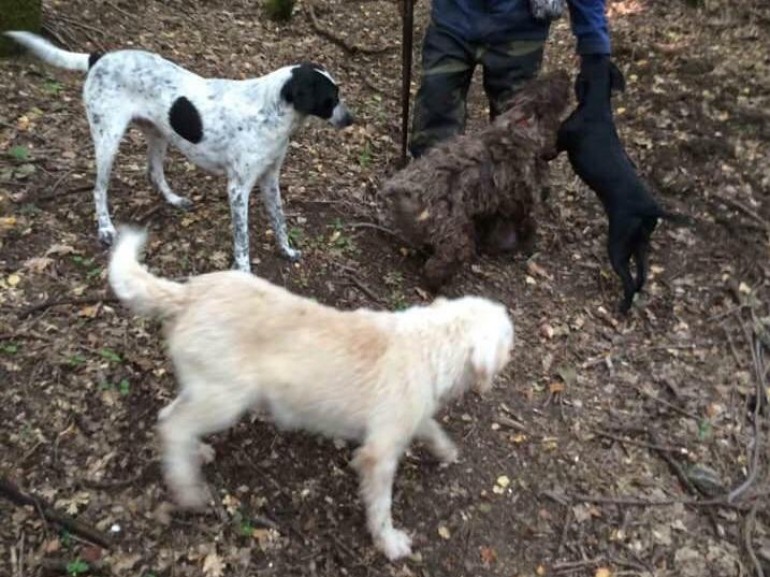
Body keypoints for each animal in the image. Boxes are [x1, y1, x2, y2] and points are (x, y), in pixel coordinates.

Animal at [2, 29, 352, 268]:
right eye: (330, 98)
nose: (351, 119)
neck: (270, 110)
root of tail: (99, 57)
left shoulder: (269, 180)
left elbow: (279, 222)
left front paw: (287, 249)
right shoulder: (238, 190)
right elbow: (242, 243)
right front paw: (244, 272)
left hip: (159, 135)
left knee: (153, 172)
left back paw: (173, 199)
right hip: (108, 139)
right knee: (99, 189)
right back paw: (105, 228)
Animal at [108, 227, 512, 560]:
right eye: (508, 334)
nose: (516, 342)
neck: (431, 344)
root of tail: (188, 293)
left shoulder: (408, 420)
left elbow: (431, 428)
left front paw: (446, 451)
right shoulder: (379, 455)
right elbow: (381, 507)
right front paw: (390, 543)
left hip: (206, 390)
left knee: (169, 416)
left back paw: (198, 452)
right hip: (225, 400)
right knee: (172, 426)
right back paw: (188, 489)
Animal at [384, 71, 568, 288]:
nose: (565, 75)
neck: (518, 126)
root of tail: (406, 190)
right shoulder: (524, 201)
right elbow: (527, 222)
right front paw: (525, 242)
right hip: (454, 237)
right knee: (444, 261)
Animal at [556, 56, 688, 312]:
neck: (597, 106)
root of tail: (651, 209)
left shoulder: (559, 142)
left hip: (618, 244)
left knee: (627, 278)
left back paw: (622, 308)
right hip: (640, 243)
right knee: (642, 275)